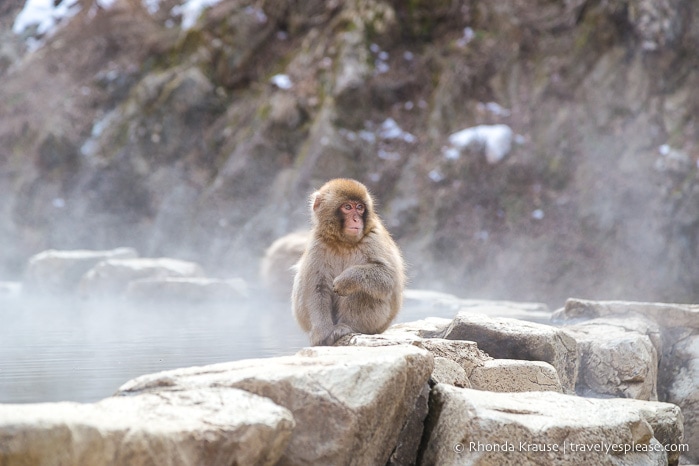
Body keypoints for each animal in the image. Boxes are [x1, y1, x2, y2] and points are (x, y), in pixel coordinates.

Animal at [292, 178, 408, 346]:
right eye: (347, 207)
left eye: (359, 208)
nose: (356, 219)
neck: (343, 242)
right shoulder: (317, 243)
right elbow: (317, 287)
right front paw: (321, 333)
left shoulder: (374, 237)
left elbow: (389, 278)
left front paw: (346, 279)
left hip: (378, 323)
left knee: (361, 288)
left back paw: (348, 327)